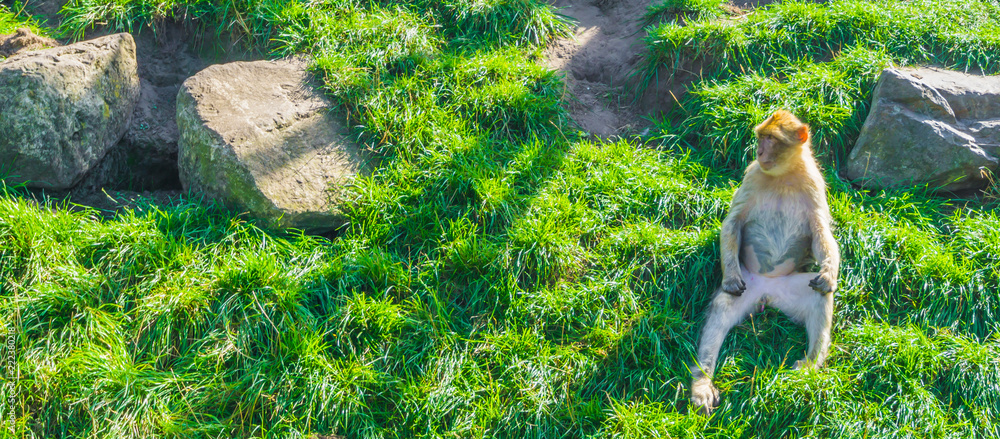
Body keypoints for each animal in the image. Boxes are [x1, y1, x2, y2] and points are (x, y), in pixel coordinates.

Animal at [689, 110, 840, 415]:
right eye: (760, 137)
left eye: (771, 139)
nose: (759, 151)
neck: (784, 175)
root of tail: (767, 292)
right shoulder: (753, 174)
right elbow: (733, 222)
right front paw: (730, 278)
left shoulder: (814, 183)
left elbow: (821, 234)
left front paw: (829, 273)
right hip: (750, 284)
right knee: (724, 306)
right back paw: (702, 383)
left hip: (788, 290)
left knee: (820, 296)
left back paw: (809, 366)